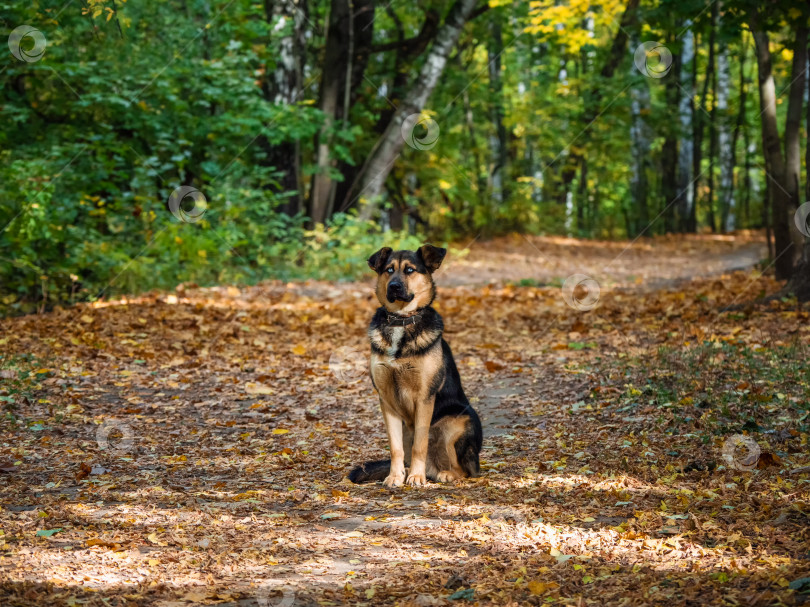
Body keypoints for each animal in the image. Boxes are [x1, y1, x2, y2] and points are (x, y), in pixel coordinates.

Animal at [346, 245, 480, 486]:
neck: (401, 321)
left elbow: (421, 443)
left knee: (464, 469)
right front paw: (394, 476)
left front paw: (416, 477)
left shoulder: (424, 398)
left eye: (409, 270)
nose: (394, 286)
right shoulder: (386, 400)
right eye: (389, 270)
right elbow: (395, 448)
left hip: (457, 423)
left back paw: (443, 474)